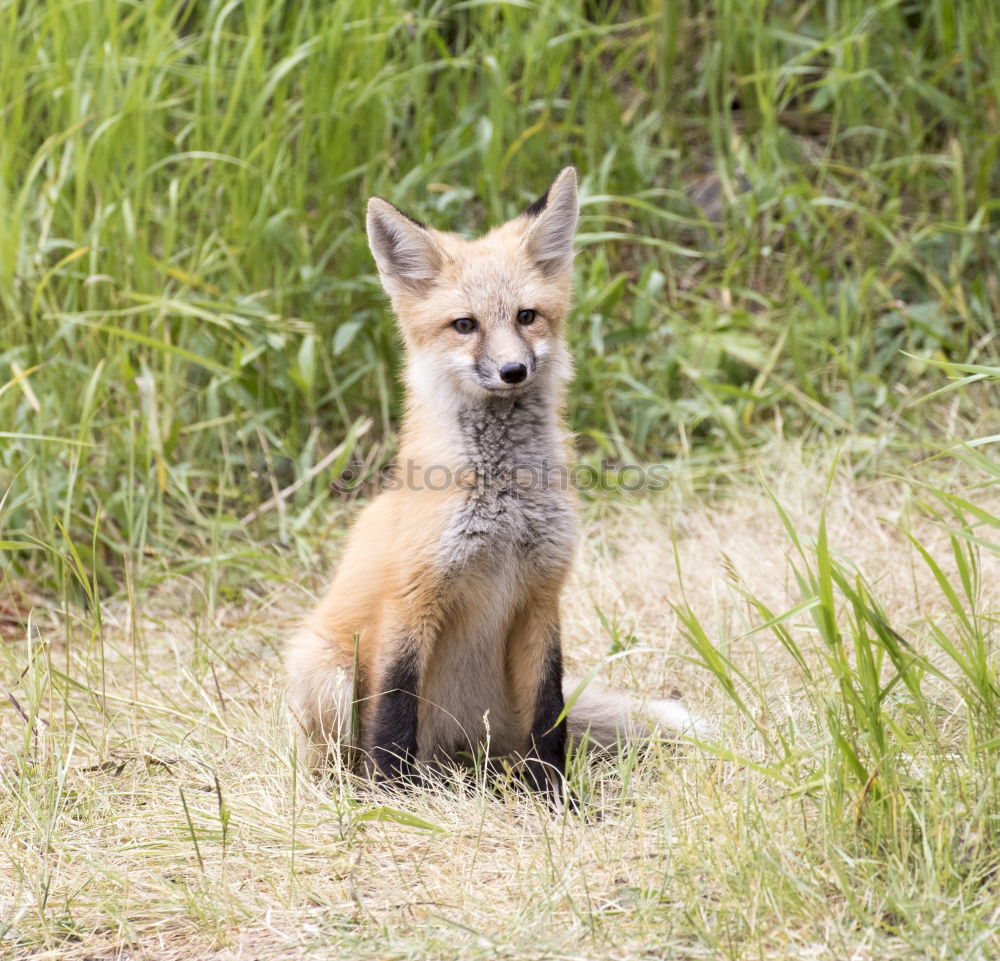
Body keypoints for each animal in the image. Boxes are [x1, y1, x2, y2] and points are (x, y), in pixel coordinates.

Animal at [284, 169, 704, 800]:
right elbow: (394, 711)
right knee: (338, 755)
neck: (504, 507)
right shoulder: (411, 601)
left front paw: (556, 797)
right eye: (465, 325)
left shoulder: (543, 595)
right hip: (324, 671)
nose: (513, 371)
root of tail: (453, 755)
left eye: (527, 316)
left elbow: (549, 713)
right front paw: (389, 801)